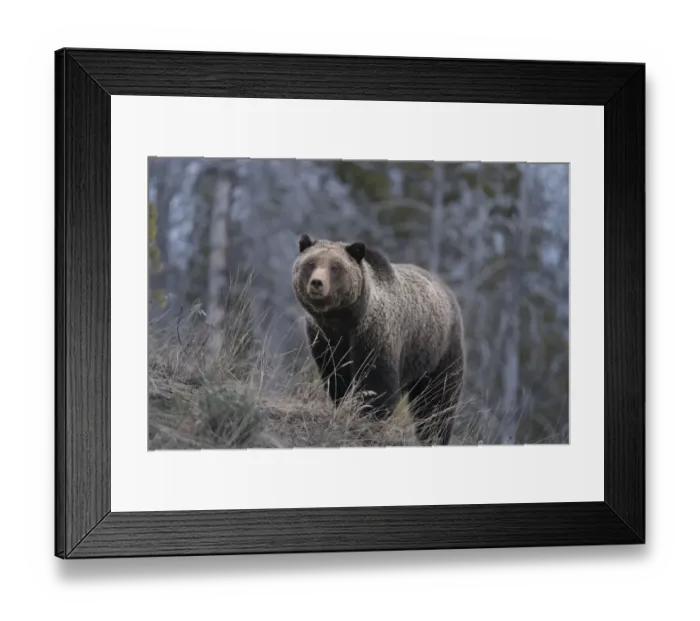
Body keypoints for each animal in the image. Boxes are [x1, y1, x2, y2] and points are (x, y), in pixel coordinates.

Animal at [291, 233, 466, 446]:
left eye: (335, 267)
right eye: (311, 263)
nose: (317, 283)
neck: (343, 319)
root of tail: (446, 289)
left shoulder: (374, 334)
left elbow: (377, 381)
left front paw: (369, 416)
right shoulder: (324, 339)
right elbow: (336, 375)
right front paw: (342, 403)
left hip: (438, 349)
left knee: (437, 398)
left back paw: (434, 436)